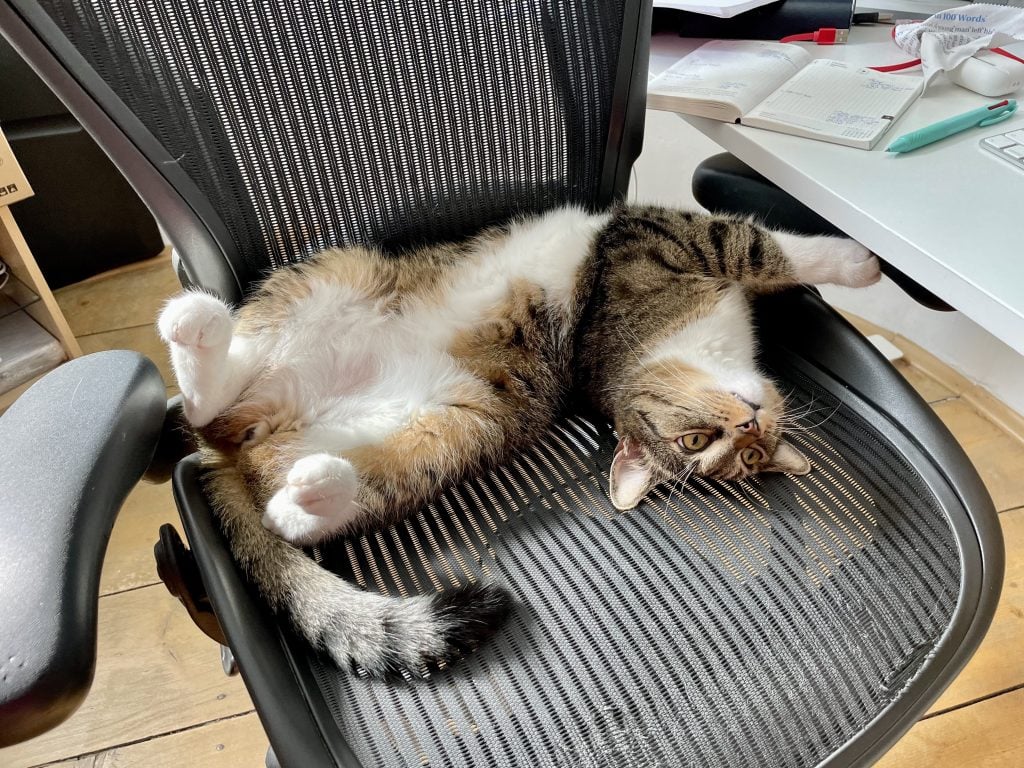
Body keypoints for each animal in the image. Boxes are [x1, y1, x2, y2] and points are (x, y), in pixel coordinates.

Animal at [157, 204, 880, 679]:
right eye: (698, 439)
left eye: (750, 458)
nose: (750, 425)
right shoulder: (658, 237)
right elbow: (761, 246)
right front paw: (857, 260)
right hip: (336, 273)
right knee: (213, 406)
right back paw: (198, 333)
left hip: (462, 427)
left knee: (288, 494)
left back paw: (307, 490)